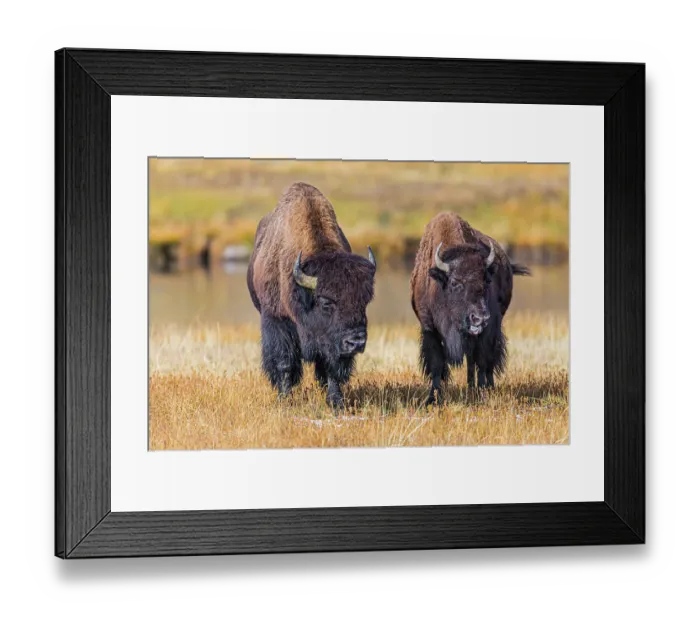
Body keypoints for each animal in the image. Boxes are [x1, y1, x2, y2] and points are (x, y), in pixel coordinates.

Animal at [247, 182, 376, 408]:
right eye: (326, 303)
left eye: (364, 301)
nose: (356, 342)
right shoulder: (276, 320)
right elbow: (284, 362)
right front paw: (284, 400)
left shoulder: (331, 343)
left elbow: (331, 366)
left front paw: (336, 401)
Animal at [410, 212, 530, 405]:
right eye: (454, 282)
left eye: (486, 280)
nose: (480, 318)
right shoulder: (429, 329)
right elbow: (436, 364)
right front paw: (433, 398)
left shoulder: (488, 330)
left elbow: (482, 360)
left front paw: (482, 393)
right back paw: (470, 387)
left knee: (485, 361)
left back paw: (485, 387)